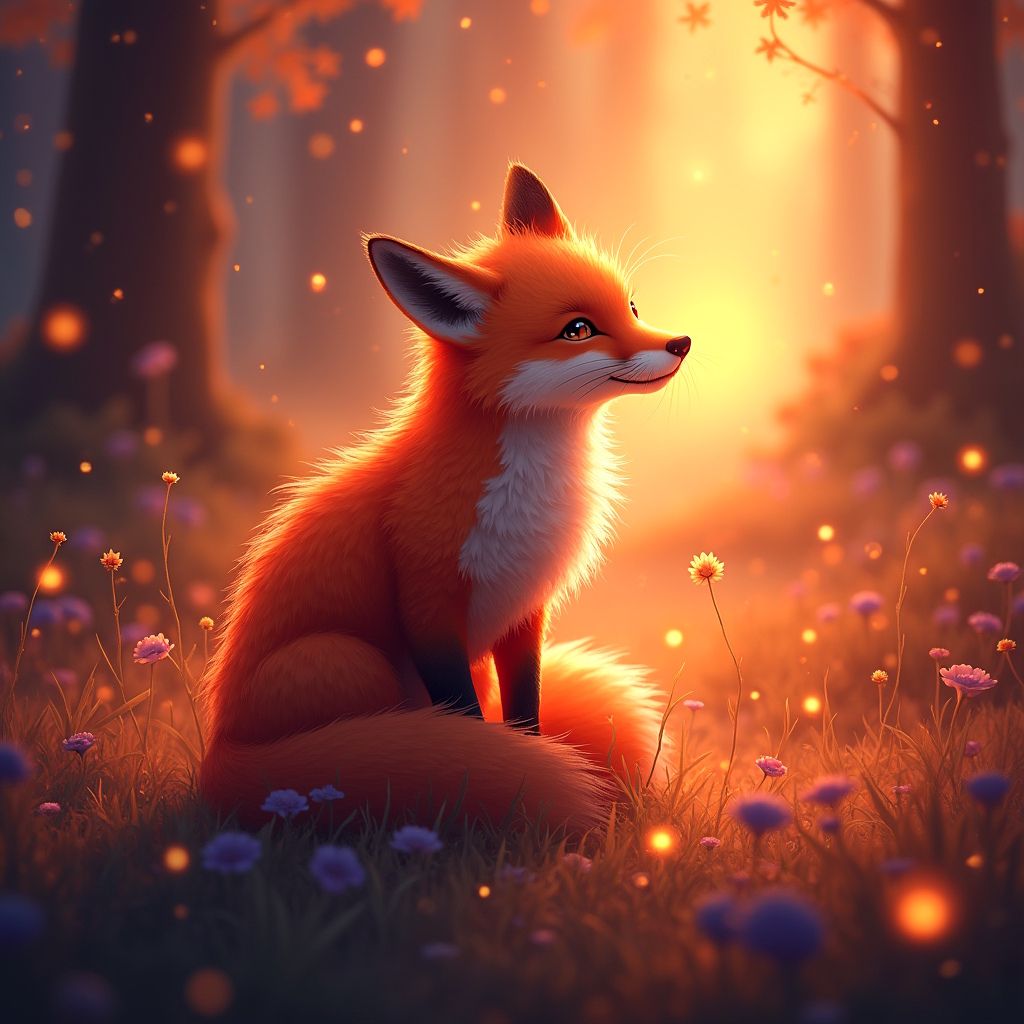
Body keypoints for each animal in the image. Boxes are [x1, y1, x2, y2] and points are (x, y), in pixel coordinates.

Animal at [200, 165, 692, 829]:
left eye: (632, 306)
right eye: (579, 329)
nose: (681, 342)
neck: (524, 493)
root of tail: (219, 750)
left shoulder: (524, 611)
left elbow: (525, 711)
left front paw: (535, 761)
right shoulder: (428, 600)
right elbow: (465, 718)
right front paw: (512, 775)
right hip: (348, 661)